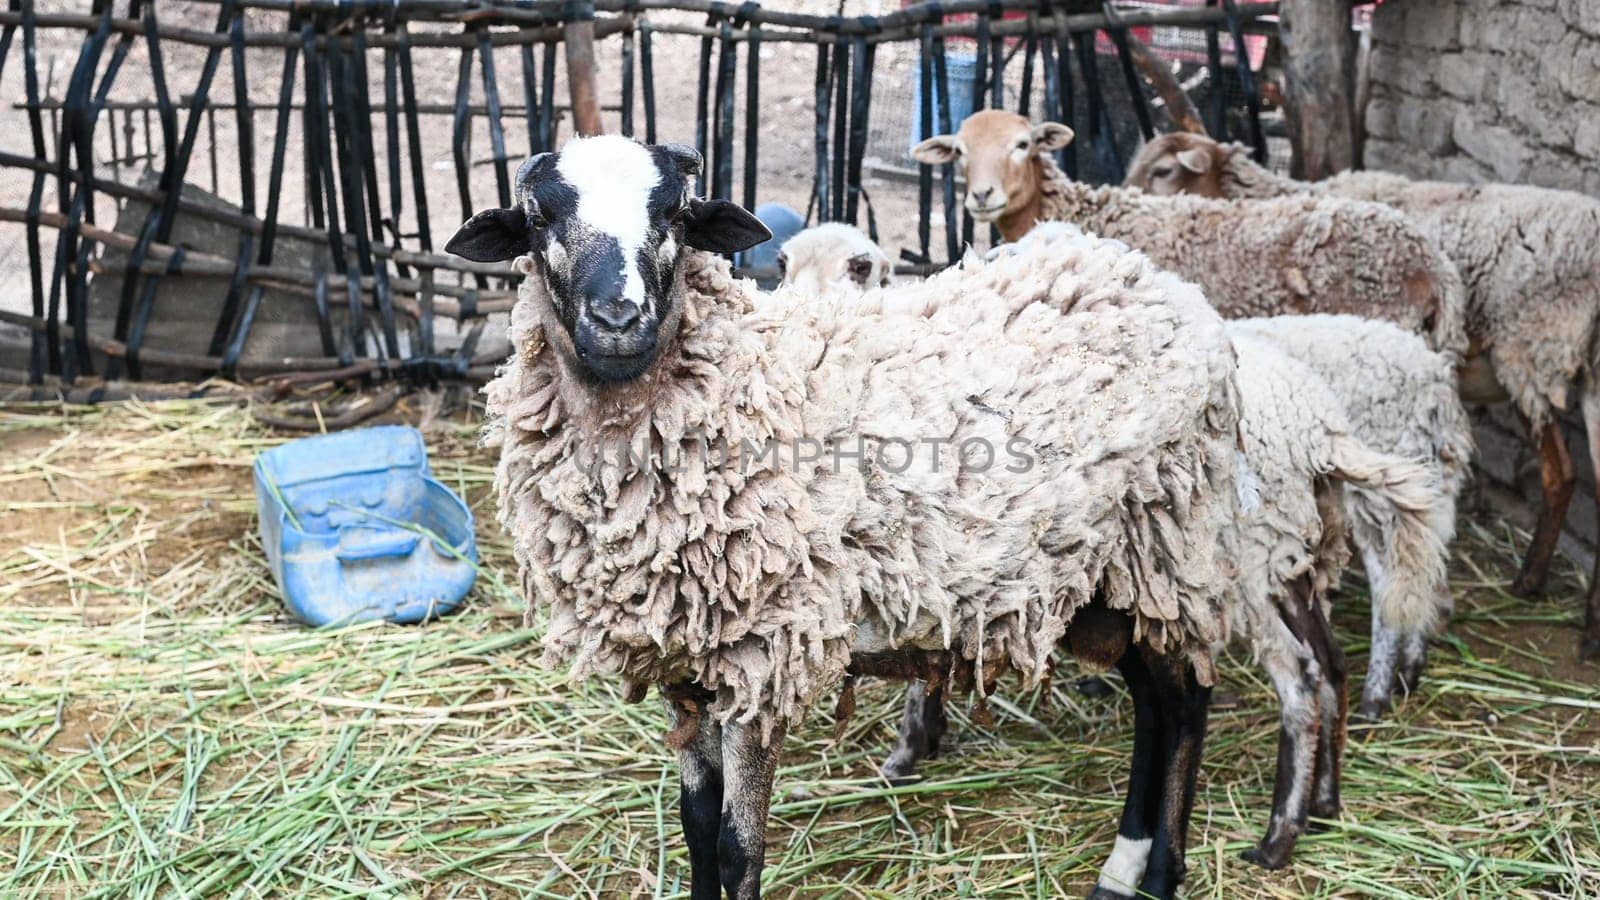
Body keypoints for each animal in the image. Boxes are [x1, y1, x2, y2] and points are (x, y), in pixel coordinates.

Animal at [444, 134, 1241, 896]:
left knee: (1187, 703)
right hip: (1105, 575)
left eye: (674, 213)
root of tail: (1155, 278)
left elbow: (737, 848)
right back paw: (1123, 866)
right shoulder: (686, 655)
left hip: (1167, 543)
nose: (618, 319)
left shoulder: (765, 653)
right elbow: (695, 821)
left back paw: (1162, 873)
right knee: (1154, 707)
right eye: (540, 219)